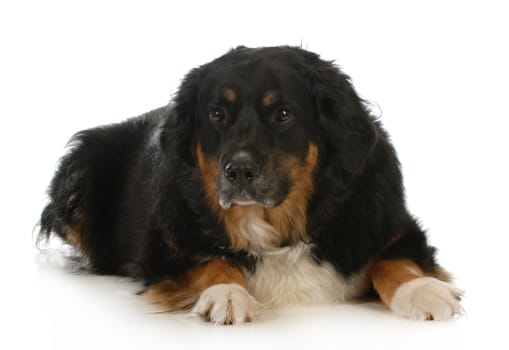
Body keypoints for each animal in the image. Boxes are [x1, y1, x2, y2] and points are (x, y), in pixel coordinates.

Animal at [38, 45, 460, 322]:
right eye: (217, 114)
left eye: (283, 114)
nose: (238, 171)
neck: (281, 229)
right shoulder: (164, 247)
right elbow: (212, 260)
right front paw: (227, 293)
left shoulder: (392, 227)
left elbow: (395, 260)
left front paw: (422, 290)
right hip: (80, 175)